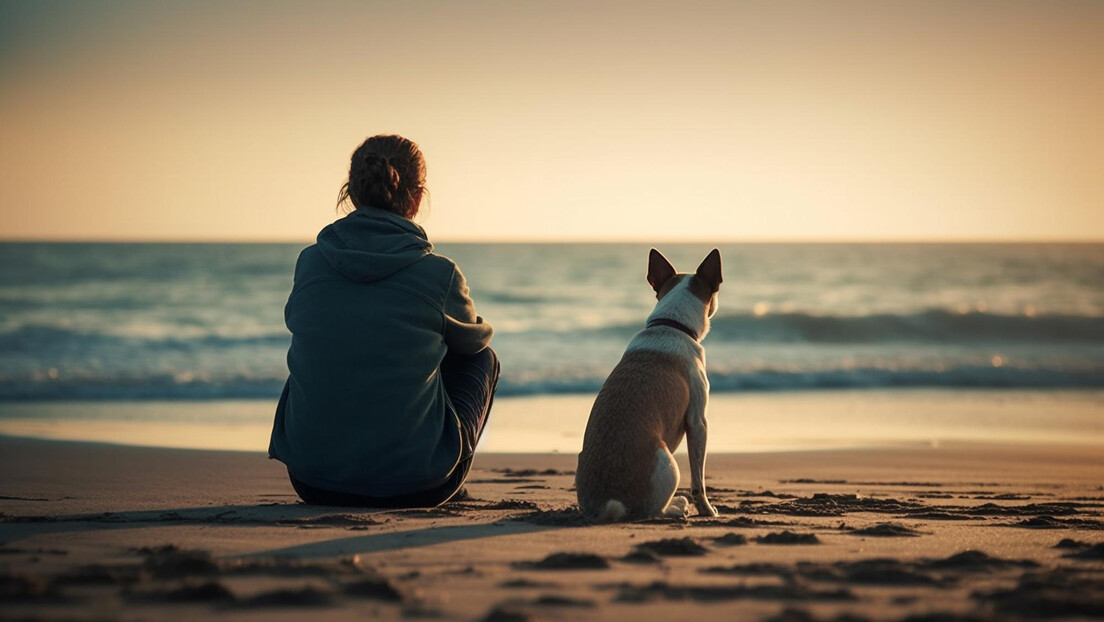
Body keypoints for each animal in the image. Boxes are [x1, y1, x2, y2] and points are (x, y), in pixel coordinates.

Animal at [578, 248, 724, 521]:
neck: (671, 323)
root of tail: (608, 505)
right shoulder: (698, 423)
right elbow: (698, 480)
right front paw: (707, 509)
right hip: (669, 463)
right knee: (655, 511)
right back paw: (678, 506)